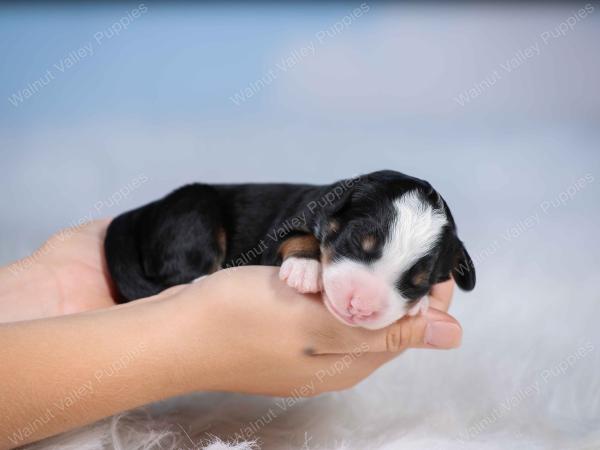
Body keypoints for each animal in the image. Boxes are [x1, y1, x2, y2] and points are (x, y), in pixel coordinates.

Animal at [106, 171, 474, 328]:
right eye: (356, 242)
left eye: (419, 283)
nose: (360, 307)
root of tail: (144, 213)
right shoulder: (280, 231)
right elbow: (300, 237)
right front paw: (305, 269)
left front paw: (418, 306)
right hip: (194, 211)